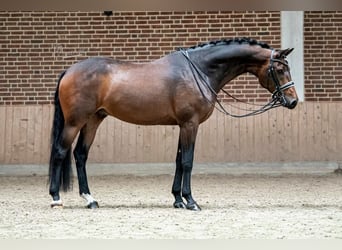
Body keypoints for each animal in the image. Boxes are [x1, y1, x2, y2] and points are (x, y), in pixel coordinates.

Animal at [48, 37, 296, 210]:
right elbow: (187, 161)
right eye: (280, 69)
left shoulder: (182, 125)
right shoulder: (190, 124)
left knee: (80, 155)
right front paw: (191, 201)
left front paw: (178, 200)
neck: (199, 71)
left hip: (93, 120)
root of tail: (69, 70)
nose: (293, 101)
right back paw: (56, 198)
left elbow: (178, 160)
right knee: (60, 152)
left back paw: (90, 199)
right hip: (74, 122)